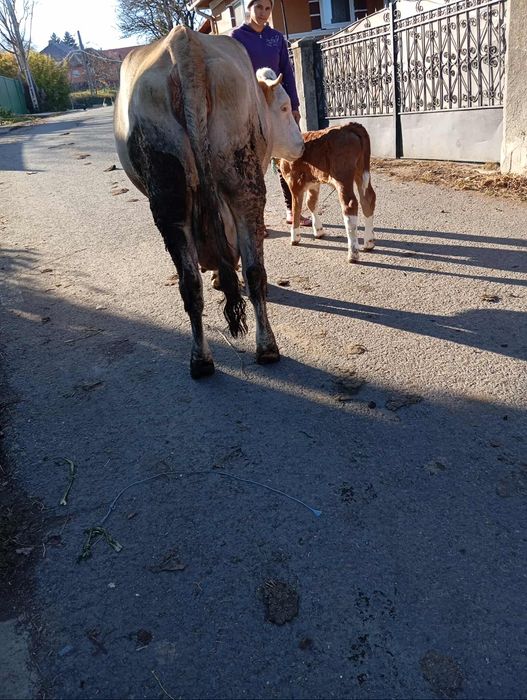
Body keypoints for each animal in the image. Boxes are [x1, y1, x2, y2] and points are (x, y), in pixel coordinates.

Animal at [114, 27, 304, 378]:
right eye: (285, 108)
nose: (300, 145)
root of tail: (185, 46)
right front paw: (219, 276)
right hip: (240, 186)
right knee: (252, 272)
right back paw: (263, 347)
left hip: (173, 199)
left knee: (193, 284)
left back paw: (203, 358)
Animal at [279, 122, 376, 263]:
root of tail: (347, 126)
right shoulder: (314, 182)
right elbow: (311, 203)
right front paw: (318, 230)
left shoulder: (294, 180)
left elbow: (296, 207)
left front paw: (295, 237)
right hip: (361, 169)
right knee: (368, 198)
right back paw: (369, 243)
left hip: (342, 174)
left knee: (350, 204)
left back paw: (353, 253)